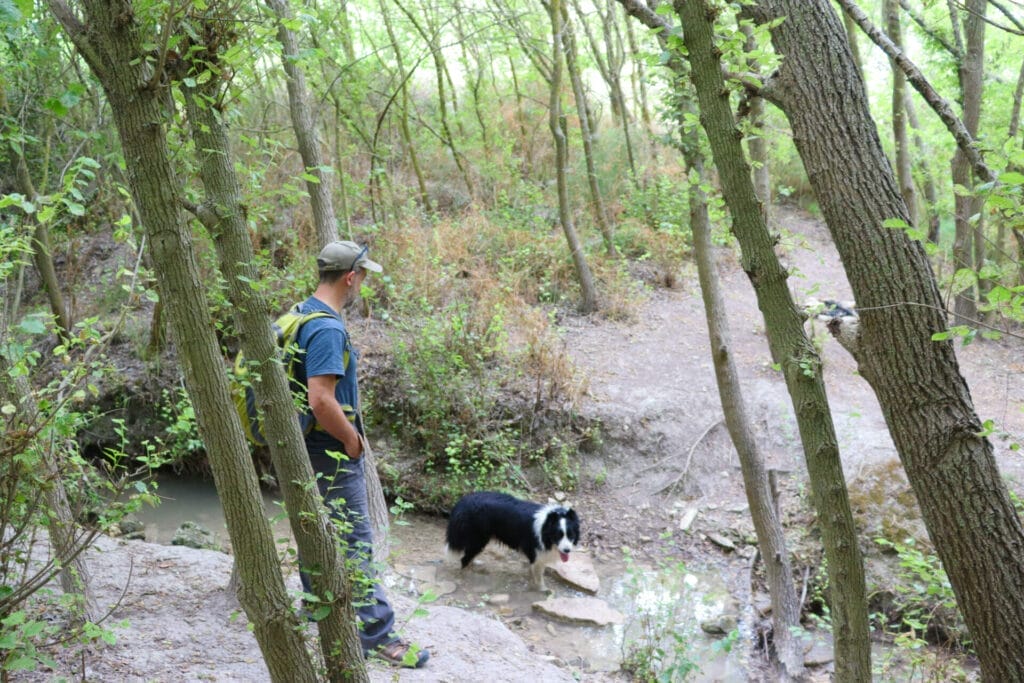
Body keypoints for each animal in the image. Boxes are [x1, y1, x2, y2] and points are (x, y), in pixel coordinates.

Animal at [444, 491, 581, 593]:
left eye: (571, 535)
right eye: (558, 536)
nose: (567, 550)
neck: (545, 526)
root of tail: (464, 501)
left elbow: (533, 572)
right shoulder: (537, 554)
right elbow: (539, 575)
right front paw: (543, 589)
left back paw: (474, 563)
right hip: (478, 538)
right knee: (464, 558)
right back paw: (465, 575)